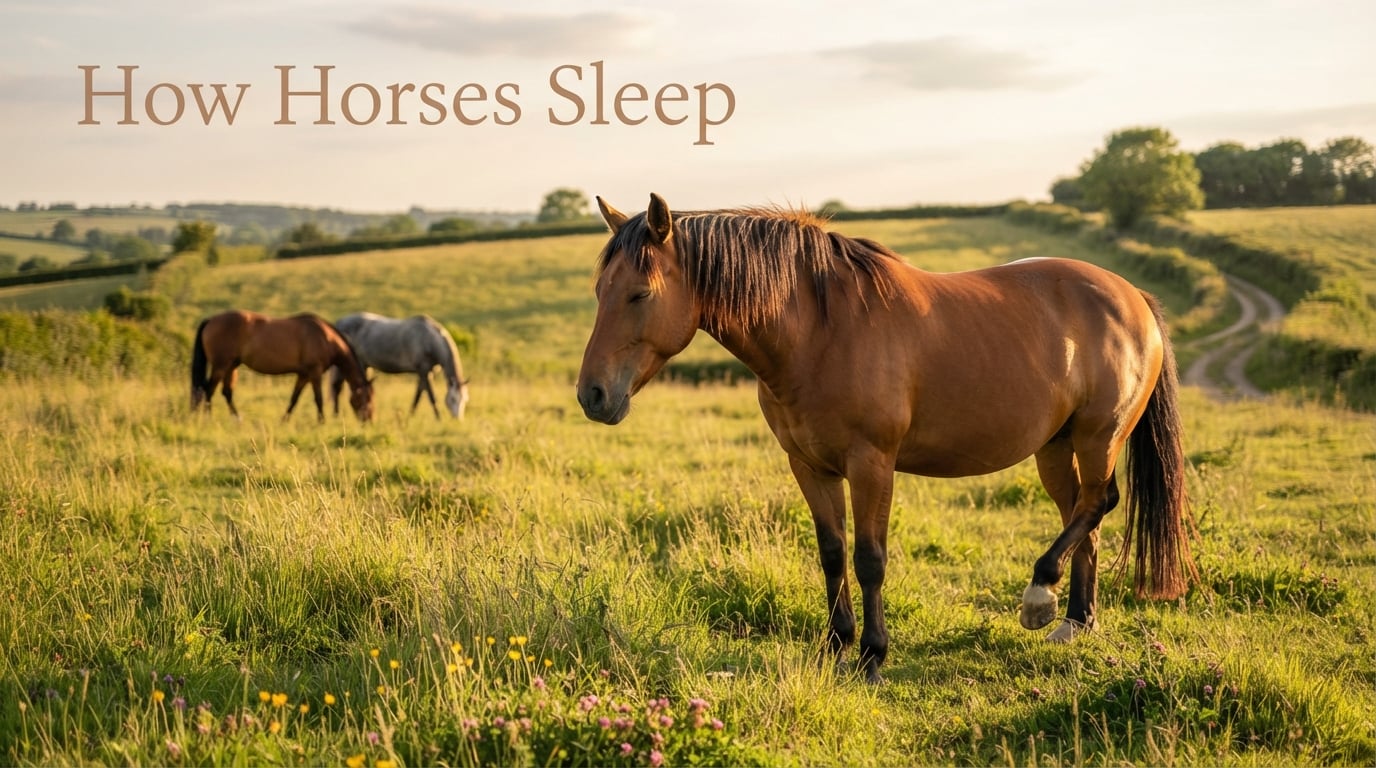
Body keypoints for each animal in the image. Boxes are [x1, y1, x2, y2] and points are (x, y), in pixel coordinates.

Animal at [190, 310, 375, 423]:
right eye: (366, 398)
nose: (369, 420)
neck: (325, 338)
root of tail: (211, 320)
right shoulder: (314, 373)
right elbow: (319, 399)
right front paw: (322, 422)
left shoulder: (303, 375)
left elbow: (294, 398)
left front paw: (284, 421)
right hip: (220, 366)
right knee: (208, 390)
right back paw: (208, 419)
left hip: (231, 366)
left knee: (226, 392)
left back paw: (238, 419)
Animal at [329, 312, 470, 419]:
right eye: (452, 399)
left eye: (465, 399)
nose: (458, 419)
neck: (429, 340)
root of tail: (339, 322)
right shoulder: (424, 370)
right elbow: (431, 396)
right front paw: (438, 418)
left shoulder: (424, 373)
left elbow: (418, 395)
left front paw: (410, 416)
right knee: (336, 388)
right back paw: (335, 415)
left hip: (364, 365)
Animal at [576, 194, 1196, 683]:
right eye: (600, 290)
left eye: (639, 294)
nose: (593, 395)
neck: (821, 332)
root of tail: (1132, 297)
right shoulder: (809, 466)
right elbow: (831, 554)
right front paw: (834, 647)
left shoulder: (871, 464)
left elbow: (869, 558)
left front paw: (872, 656)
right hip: (1054, 447)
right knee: (1082, 514)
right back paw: (1074, 620)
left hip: (1098, 437)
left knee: (1098, 502)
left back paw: (1039, 596)